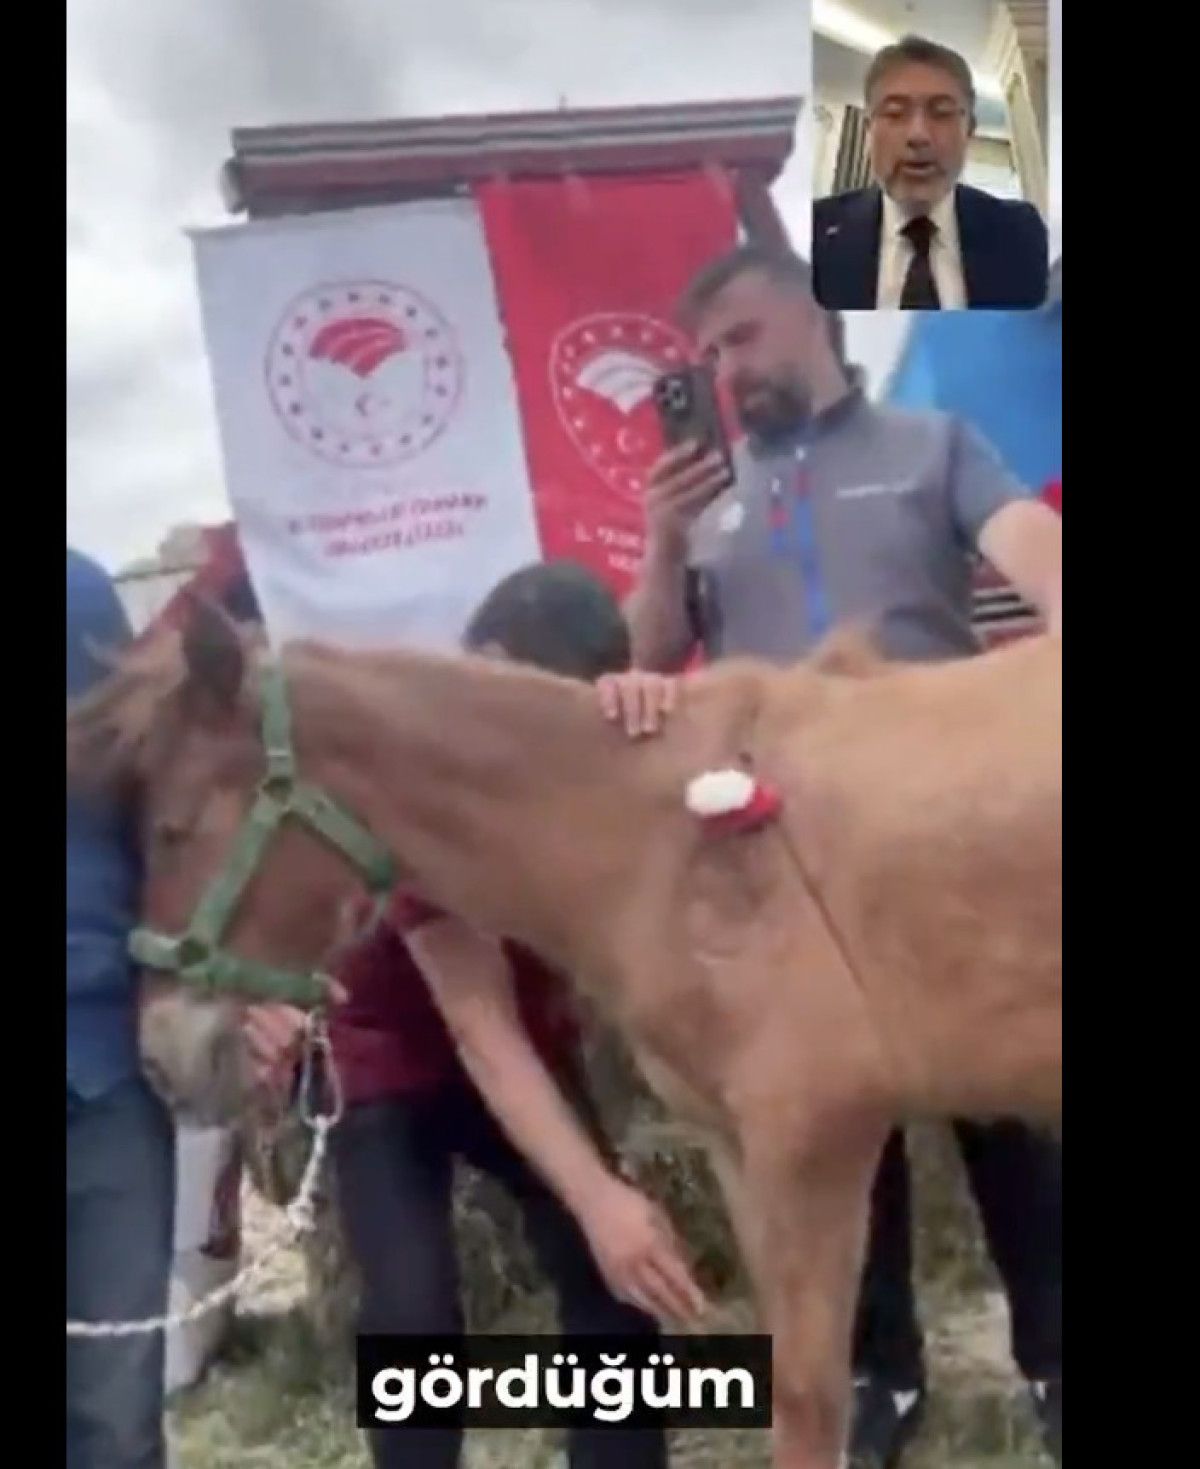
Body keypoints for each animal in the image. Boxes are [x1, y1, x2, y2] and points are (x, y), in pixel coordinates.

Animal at [66, 601, 1061, 1469]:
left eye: (173, 826)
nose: (159, 1052)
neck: (664, 841)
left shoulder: (815, 1147)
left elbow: (812, 1399)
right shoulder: (739, 1150)